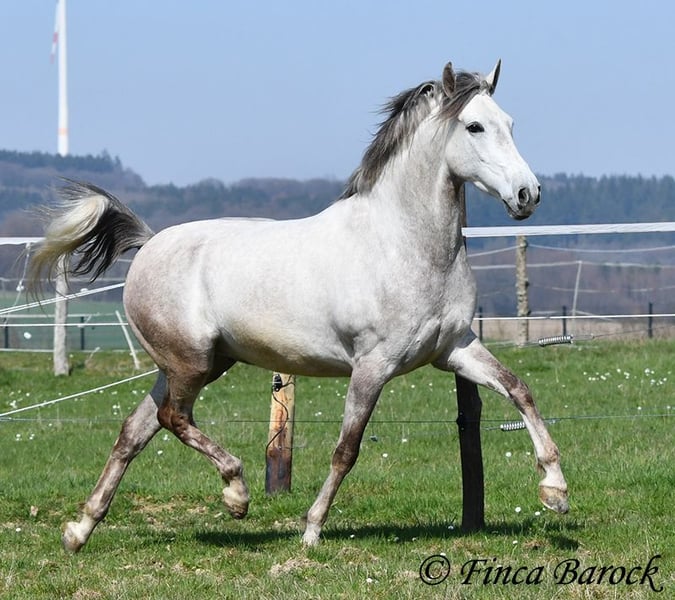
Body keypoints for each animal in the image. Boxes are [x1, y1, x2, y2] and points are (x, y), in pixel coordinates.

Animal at [29, 60, 568, 553]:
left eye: (510, 123)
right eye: (474, 126)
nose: (528, 194)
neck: (403, 244)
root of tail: (149, 244)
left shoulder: (453, 348)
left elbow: (519, 390)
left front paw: (555, 490)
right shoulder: (373, 365)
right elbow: (346, 450)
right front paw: (311, 531)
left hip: (192, 364)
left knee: (135, 431)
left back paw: (79, 531)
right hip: (192, 362)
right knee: (172, 419)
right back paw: (236, 493)